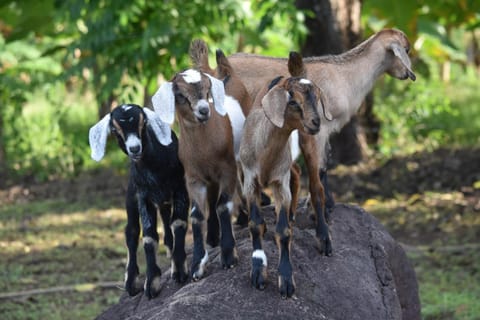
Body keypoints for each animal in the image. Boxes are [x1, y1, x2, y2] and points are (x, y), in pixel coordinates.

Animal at [89, 104, 188, 298]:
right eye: (115, 129)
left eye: (143, 123)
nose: (134, 148)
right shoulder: (143, 197)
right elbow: (149, 237)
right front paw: (152, 283)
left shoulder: (180, 187)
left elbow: (178, 223)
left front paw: (179, 270)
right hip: (131, 197)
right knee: (132, 232)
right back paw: (131, 281)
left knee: (167, 222)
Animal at [152, 67, 238, 280]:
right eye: (180, 95)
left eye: (207, 90)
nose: (204, 110)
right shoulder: (193, 179)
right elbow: (197, 215)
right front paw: (197, 264)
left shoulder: (229, 170)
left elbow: (224, 206)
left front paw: (229, 256)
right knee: (212, 202)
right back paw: (213, 238)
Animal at [228, 27, 412, 252]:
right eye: (406, 50)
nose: (407, 74)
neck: (346, 76)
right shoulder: (317, 131)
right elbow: (318, 173)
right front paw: (320, 224)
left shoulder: (325, 131)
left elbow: (324, 165)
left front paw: (324, 209)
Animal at [239, 51, 326, 298]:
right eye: (293, 101)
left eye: (317, 97)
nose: (316, 121)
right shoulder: (250, 180)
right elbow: (255, 224)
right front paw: (258, 271)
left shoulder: (279, 183)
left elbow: (284, 231)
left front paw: (286, 279)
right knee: (296, 174)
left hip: (309, 144)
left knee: (316, 188)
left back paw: (324, 239)